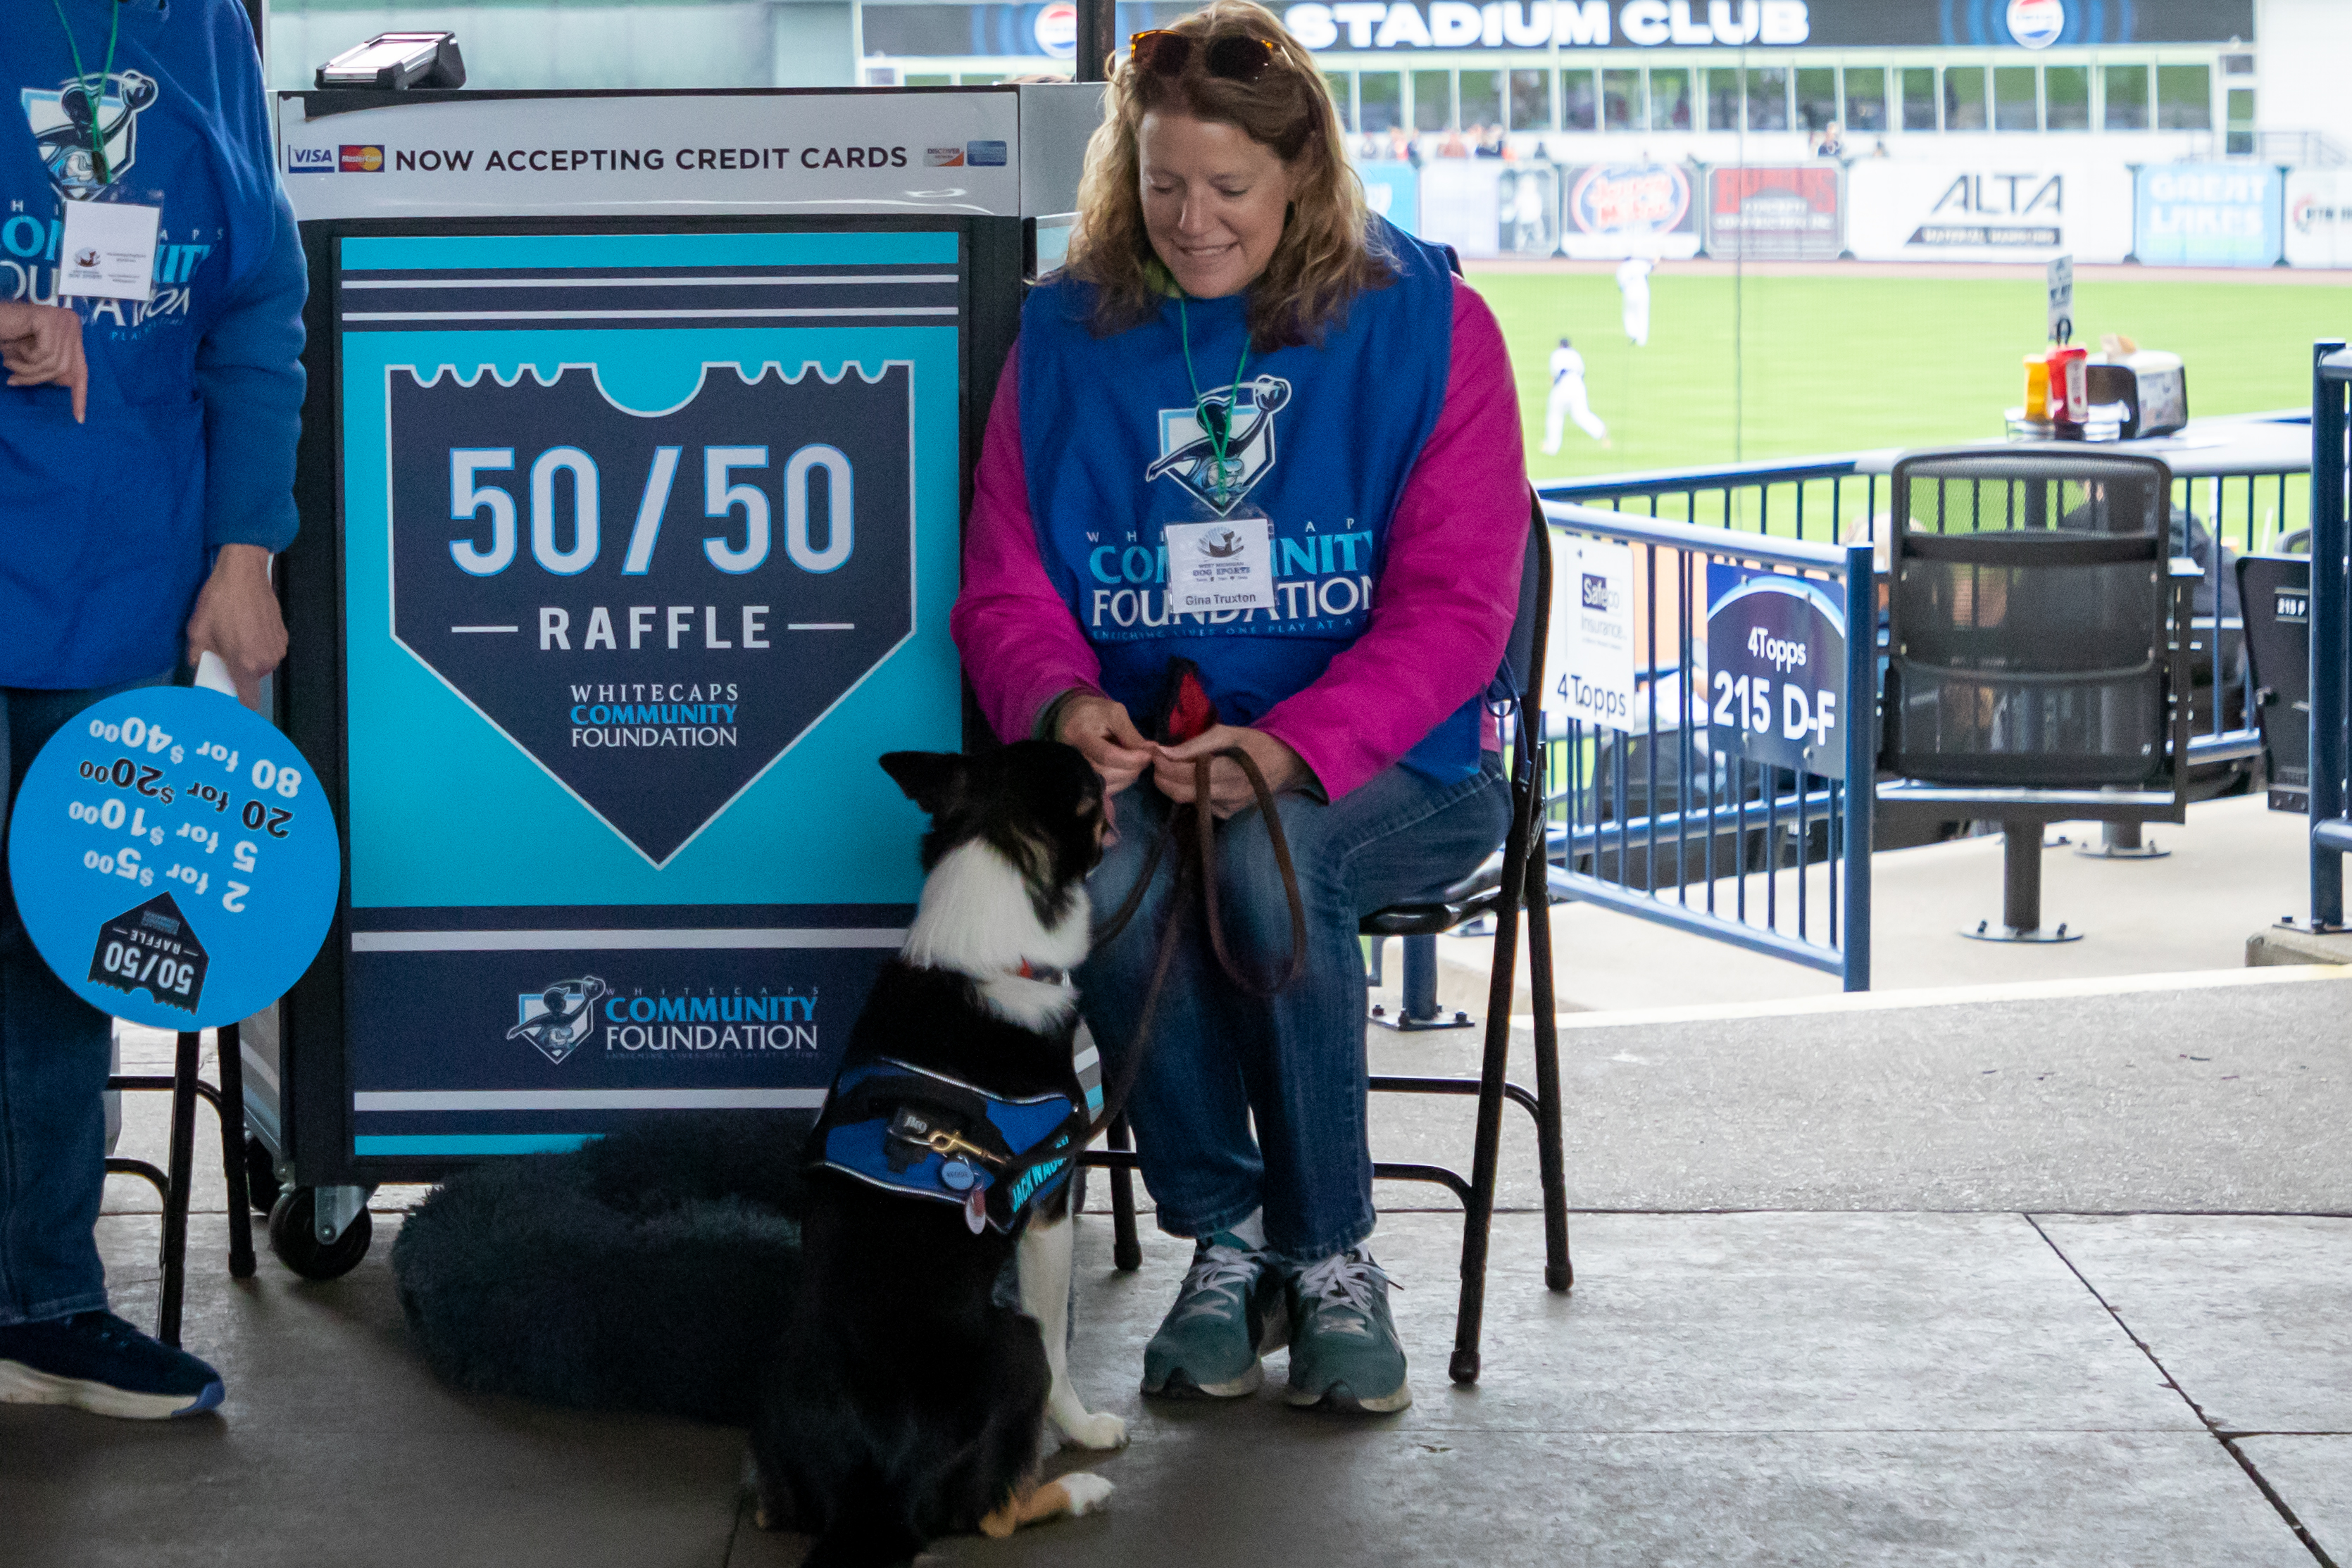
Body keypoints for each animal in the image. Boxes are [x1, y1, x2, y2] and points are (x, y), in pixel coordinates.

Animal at [748, 743, 1124, 1560]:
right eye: (1091, 788)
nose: (1120, 755)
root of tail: (867, 1498)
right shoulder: (1052, 1206)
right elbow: (1061, 1356)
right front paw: (1082, 1429)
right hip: (1012, 1344)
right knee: (991, 1512)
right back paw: (1078, 1488)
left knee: (770, 1509)